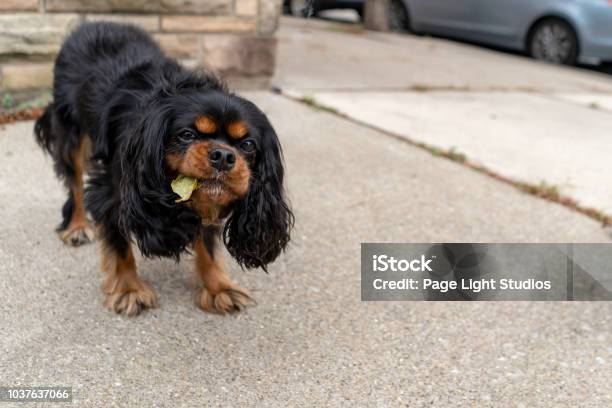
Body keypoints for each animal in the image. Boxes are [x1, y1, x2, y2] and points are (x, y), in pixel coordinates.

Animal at [35, 21, 294, 316]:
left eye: (248, 145)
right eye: (186, 135)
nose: (224, 156)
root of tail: (89, 23)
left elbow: (207, 243)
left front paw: (218, 287)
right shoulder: (112, 192)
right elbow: (119, 244)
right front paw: (129, 289)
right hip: (71, 135)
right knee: (75, 184)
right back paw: (77, 226)